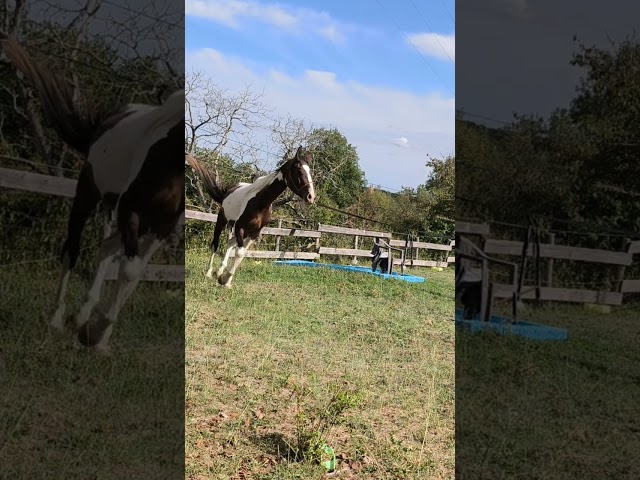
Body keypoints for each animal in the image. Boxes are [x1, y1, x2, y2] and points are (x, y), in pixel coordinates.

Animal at [1, 35, 185, 352]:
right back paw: (58, 318)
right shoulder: (131, 210)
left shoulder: (163, 225)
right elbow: (130, 270)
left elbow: (134, 274)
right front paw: (93, 333)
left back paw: (83, 318)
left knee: (107, 248)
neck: (167, 159)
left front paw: (97, 336)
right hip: (87, 193)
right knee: (72, 250)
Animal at [186, 147, 316, 287]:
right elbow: (239, 252)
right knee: (215, 244)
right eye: (299, 170)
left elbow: (242, 254)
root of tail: (229, 191)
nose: (311, 197)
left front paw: (225, 280)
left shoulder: (255, 232)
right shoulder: (240, 227)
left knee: (230, 243)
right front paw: (224, 279)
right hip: (222, 220)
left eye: (309, 171)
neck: (261, 203)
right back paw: (209, 273)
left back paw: (219, 271)